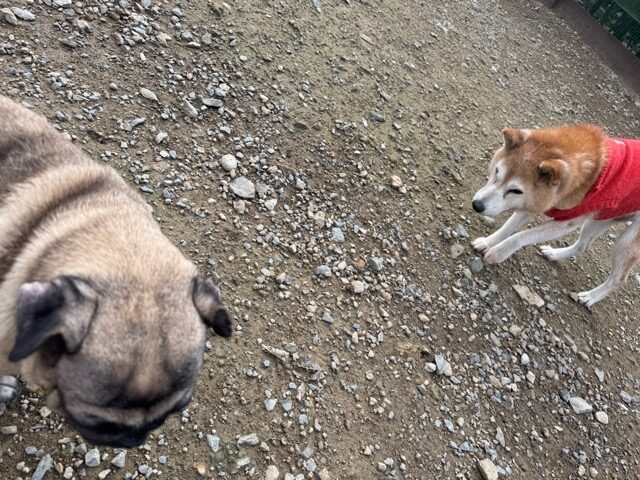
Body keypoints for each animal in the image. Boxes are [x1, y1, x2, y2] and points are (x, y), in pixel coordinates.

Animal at [472, 125, 640, 308]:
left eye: (515, 190)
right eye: (496, 172)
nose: (477, 205)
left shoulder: (567, 222)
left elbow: (520, 236)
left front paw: (498, 252)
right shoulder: (533, 204)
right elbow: (507, 228)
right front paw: (488, 242)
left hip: (626, 243)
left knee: (618, 279)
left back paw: (591, 296)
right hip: (600, 219)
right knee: (582, 246)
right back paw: (555, 254)